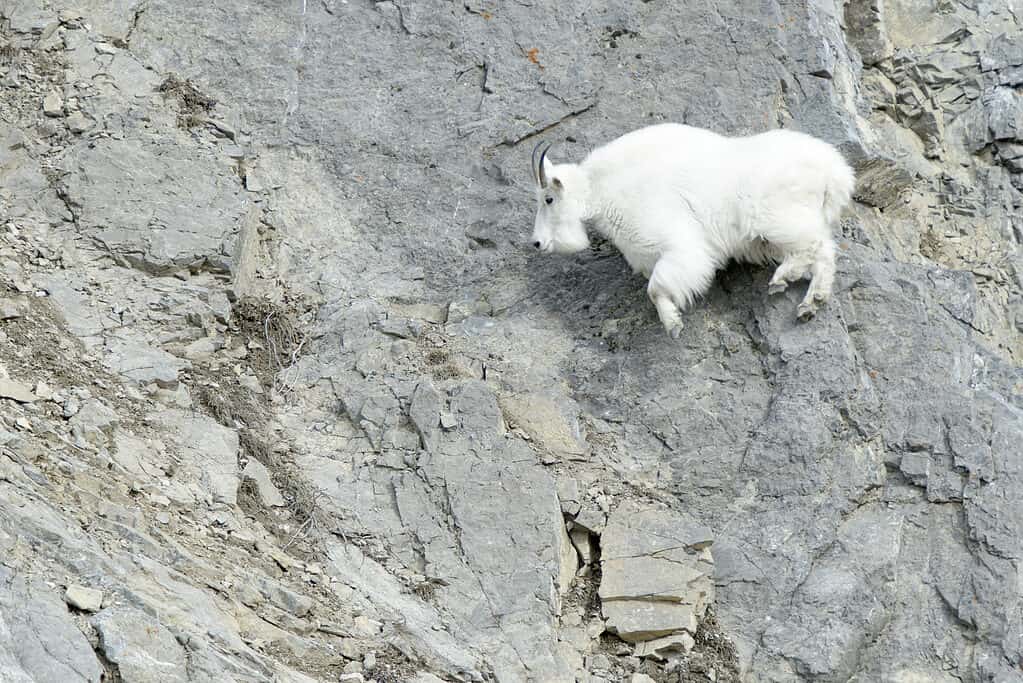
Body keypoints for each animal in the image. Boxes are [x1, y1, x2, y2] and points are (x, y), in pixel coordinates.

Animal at [527, 124, 855, 339]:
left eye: (548, 199)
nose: (537, 243)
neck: (604, 190)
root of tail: (836, 172)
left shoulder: (680, 247)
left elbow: (656, 289)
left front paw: (673, 325)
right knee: (823, 253)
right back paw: (810, 303)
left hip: (779, 220)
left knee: (814, 246)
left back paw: (783, 279)